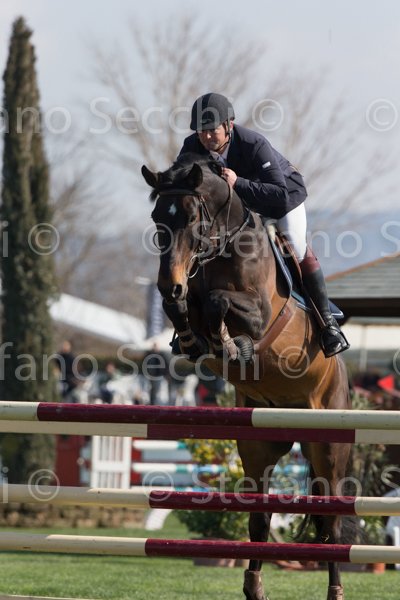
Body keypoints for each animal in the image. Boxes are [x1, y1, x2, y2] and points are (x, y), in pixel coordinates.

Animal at [142, 153, 351, 600]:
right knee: (260, 519)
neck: (221, 248)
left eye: (191, 216)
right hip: (257, 447)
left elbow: (219, 302)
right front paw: (192, 336)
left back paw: (335, 591)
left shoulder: (258, 313)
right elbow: (189, 309)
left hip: (328, 448)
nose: (168, 285)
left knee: (330, 522)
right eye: (156, 218)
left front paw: (230, 343)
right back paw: (254, 587)